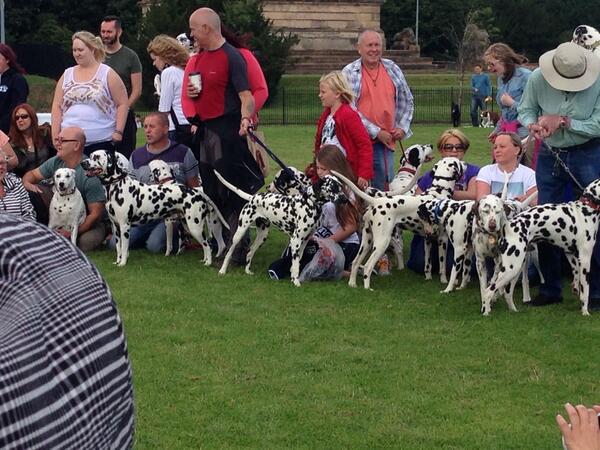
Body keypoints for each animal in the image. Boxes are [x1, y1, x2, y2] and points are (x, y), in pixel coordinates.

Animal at [82, 149, 216, 266]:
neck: (116, 187)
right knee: (205, 246)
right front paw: (118, 261)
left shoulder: (125, 226)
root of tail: (197, 192)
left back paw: (208, 263)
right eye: (90, 155)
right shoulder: (116, 227)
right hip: (188, 226)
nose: (83, 163)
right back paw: (204, 260)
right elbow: (119, 249)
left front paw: (123, 263)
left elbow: (124, 248)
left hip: (195, 227)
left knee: (207, 245)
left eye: (96, 157)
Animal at [214, 171, 346, 286]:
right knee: (229, 252)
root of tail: (253, 197)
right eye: (333, 187)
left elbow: (296, 262)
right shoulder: (296, 240)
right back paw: (222, 270)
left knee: (250, 252)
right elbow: (296, 264)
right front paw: (296, 282)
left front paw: (294, 278)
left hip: (262, 236)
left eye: (341, 187)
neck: (309, 203)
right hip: (239, 232)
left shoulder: (305, 241)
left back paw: (247, 271)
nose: (345, 199)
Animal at [332, 156, 464, 290]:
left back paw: (352, 284)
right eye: (459, 162)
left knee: (355, 263)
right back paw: (368, 288)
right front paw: (444, 281)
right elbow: (442, 266)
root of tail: (376, 201)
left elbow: (427, 264)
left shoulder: (428, 239)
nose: (465, 163)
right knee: (368, 267)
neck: (439, 191)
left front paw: (428, 278)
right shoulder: (443, 239)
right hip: (381, 243)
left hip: (366, 242)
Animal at [480, 178, 600, 316]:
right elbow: (585, 290)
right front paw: (585, 311)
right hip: (511, 268)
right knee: (488, 291)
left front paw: (576, 292)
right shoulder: (585, 260)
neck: (585, 209)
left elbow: (576, 279)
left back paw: (513, 310)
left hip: (515, 268)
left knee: (507, 292)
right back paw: (486, 312)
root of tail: (508, 224)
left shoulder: (571, 255)